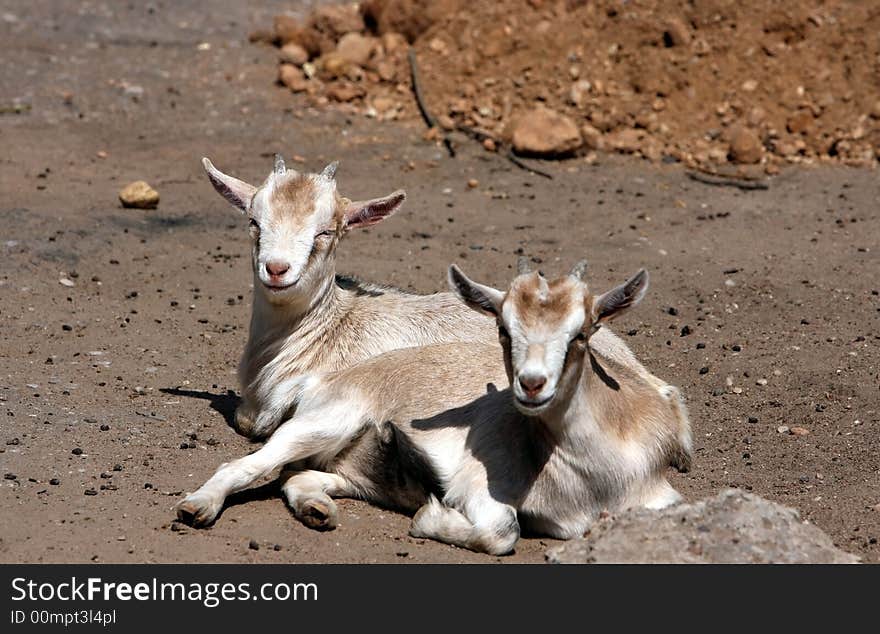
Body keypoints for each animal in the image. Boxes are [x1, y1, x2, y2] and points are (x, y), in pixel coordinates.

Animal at [175, 260, 692, 552]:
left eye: (581, 332)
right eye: (503, 328)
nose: (531, 385)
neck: (597, 480)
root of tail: (325, 379)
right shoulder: (480, 488)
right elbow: (503, 532)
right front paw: (430, 518)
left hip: (350, 467)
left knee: (300, 477)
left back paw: (317, 510)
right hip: (323, 423)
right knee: (248, 464)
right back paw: (197, 507)